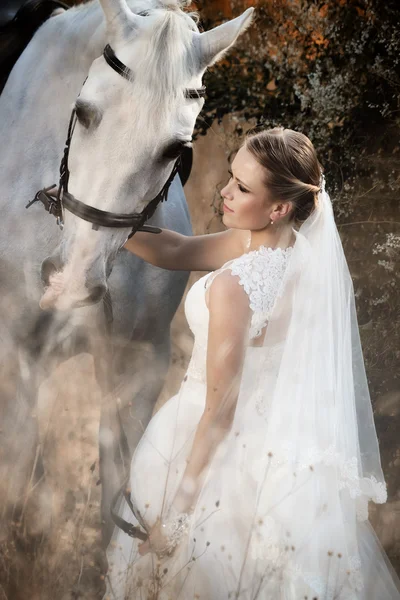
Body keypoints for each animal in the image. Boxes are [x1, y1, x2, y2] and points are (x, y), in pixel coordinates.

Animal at [0, 0, 255, 544]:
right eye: (83, 112)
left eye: (175, 150)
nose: (71, 282)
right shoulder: (16, 359)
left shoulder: (138, 365)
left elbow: (117, 496)